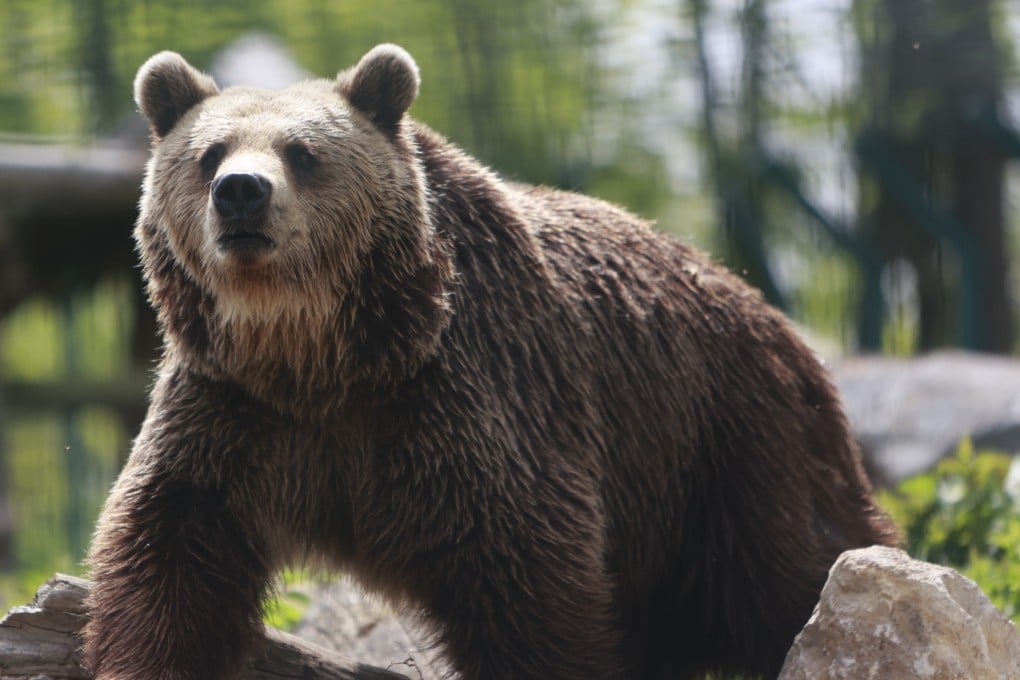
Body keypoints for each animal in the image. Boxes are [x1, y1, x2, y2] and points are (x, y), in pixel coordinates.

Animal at [83, 44, 897, 680]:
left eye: (302, 153)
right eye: (208, 155)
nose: (242, 194)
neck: (322, 356)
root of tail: (768, 313)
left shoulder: (466, 402)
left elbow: (525, 575)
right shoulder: (233, 414)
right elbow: (170, 552)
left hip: (728, 446)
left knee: (795, 565)